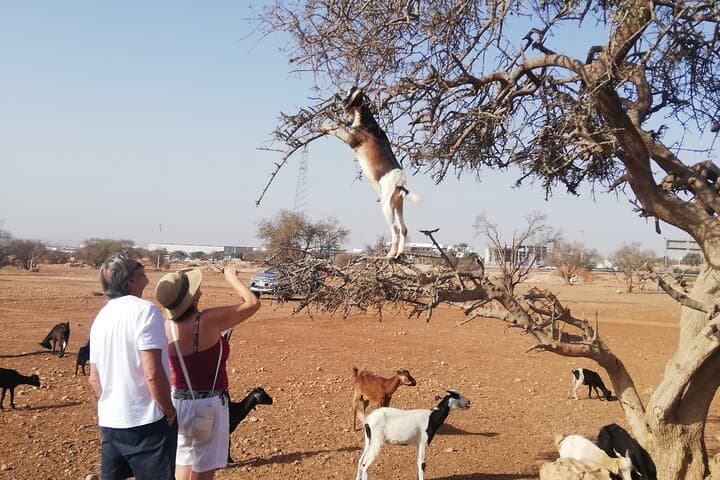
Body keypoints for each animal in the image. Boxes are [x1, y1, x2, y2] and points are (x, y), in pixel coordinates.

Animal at [321, 86, 420, 259]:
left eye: (349, 93)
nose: (338, 98)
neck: (365, 118)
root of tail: (400, 183)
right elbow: (337, 125)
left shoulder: (349, 139)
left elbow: (337, 128)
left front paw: (323, 126)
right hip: (397, 205)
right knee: (403, 229)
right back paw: (399, 253)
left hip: (386, 207)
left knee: (395, 229)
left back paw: (390, 254)